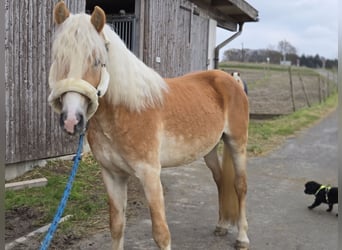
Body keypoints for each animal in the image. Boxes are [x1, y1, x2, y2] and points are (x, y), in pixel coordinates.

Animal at [48, 2, 248, 250]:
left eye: (96, 60)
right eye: (58, 57)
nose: (71, 120)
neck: (126, 112)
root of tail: (231, 79)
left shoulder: (150, 174)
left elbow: (161, 233)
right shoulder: (112, 175)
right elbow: (117, 226)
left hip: (237, 143)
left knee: (240, 186)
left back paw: (242, 238)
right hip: (209, 149)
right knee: (220, 180)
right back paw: (221, 225)